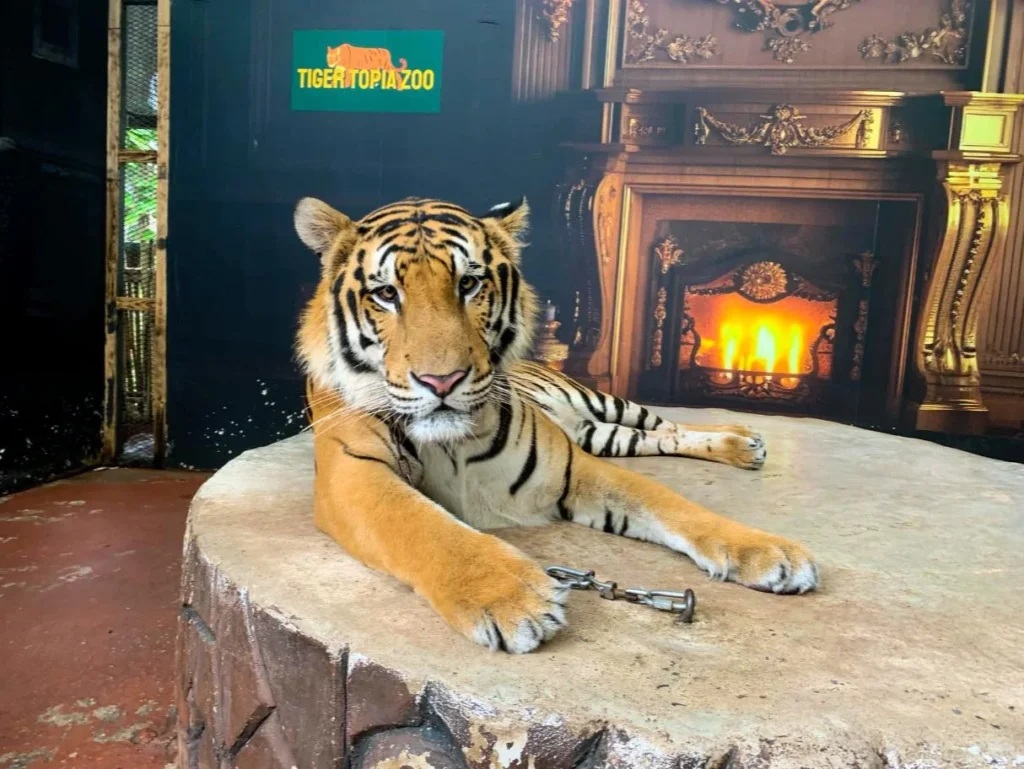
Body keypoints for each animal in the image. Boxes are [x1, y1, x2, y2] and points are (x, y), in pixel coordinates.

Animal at [294, 195, 819, 654]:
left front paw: (771, 552)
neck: (450, 445)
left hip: (608, 406)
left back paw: (744, 443)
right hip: (606, 435)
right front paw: (511, 597)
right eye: (386, 294)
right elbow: (422, 524)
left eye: (468, 284)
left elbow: (668, 503)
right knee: (657, 437)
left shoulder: (572, 467)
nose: (442, 380)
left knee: (668, 426)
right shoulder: (352, 473)